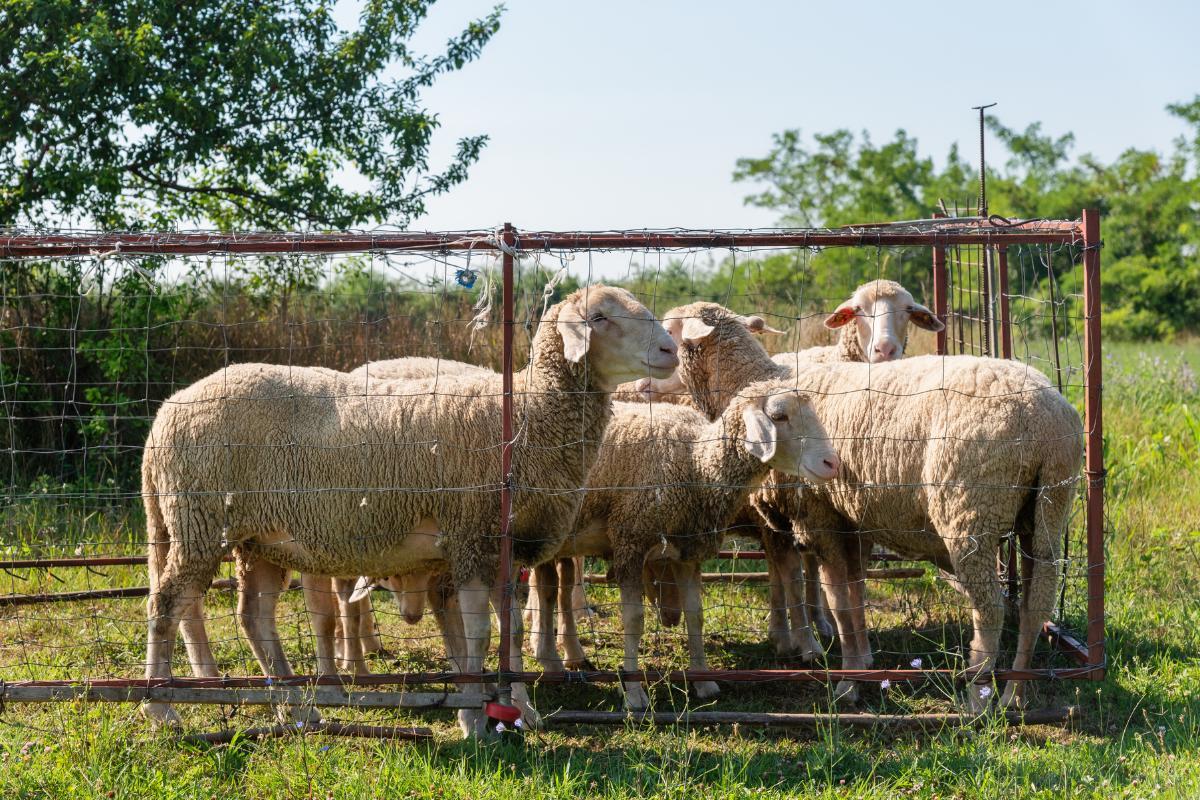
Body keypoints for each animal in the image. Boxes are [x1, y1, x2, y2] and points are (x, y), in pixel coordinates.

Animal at [140, 284, 679, 736]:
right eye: (599, 317)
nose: (670, 350)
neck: (526, 415)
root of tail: (166, 410)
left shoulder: (496, 548)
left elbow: (502, 637)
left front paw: (515, 709)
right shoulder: (470, 535)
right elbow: (480, 634)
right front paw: (477, 718)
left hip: (258, 539)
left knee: (253, 617)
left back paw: (297, 709)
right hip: (200, 521)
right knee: (166, 605)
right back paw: (161, 708)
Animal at [548, 381, 840, 708]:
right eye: (779, 416)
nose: (833, 463)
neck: (695, 462)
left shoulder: (686, 551)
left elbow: (695, 615)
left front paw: (703, 681)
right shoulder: (630, 542)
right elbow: (634, 620)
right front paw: (633, 692)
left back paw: (565, 655)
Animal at [647, 301, 1083, 710]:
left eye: (669, 328)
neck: (753, 381)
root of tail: (1046, 419)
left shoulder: (818, 516)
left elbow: (838, 601)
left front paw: (848, 682)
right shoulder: (852, 520)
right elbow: (854, 595)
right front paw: (863, 665)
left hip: (971, 511)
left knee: (990, 608)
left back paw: (979, 696)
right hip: (1047, 510)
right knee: (1036, 603)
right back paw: (1016, 693)